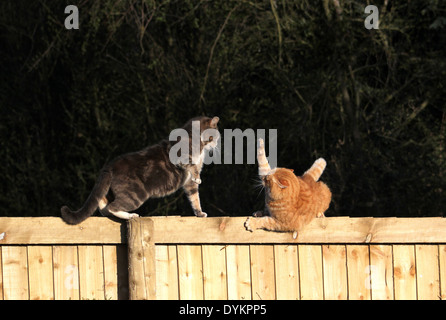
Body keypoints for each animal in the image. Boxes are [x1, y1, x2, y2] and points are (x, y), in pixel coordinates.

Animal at [61, 116, 220, 224]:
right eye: (216, 136)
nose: (217, 144)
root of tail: (109, 166)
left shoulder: (188, 183)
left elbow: (194, 197)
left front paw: (199, 213)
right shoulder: (181, 156)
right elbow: (192, 167)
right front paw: (198, 177)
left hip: (111, 191)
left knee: (103, 203)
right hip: (137, 194)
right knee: (113, 206)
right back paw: (131, 215)